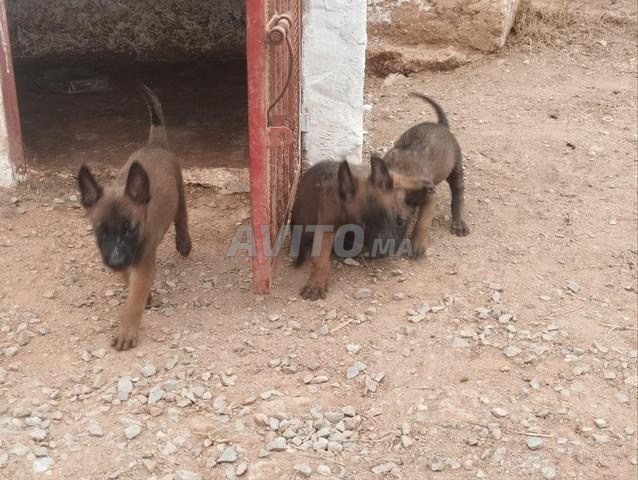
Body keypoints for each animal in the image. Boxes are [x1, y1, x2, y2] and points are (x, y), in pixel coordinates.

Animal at [77, 84, 192, 350]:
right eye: (100, 231)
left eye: (131, 229)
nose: (117, 260)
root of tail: (154, 144)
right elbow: (127, 281)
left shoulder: (143, 262)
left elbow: (133, 299)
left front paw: (126, 330)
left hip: (179, 190)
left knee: (181, 217)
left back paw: (184, 242)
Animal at [290, 158, 433, 300]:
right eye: (361, 225)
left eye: (389, 216)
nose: (383, 253)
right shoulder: (326, 226)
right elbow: (320, 258)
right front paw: (316, 283)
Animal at [375, 93, 470, 258]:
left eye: (400, 221)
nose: (380, 253)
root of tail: (441, 124)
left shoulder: (430, 195)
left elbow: (422, 222)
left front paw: (417, 245)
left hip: (455, 168)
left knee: (458, 192)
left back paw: (458, 223)